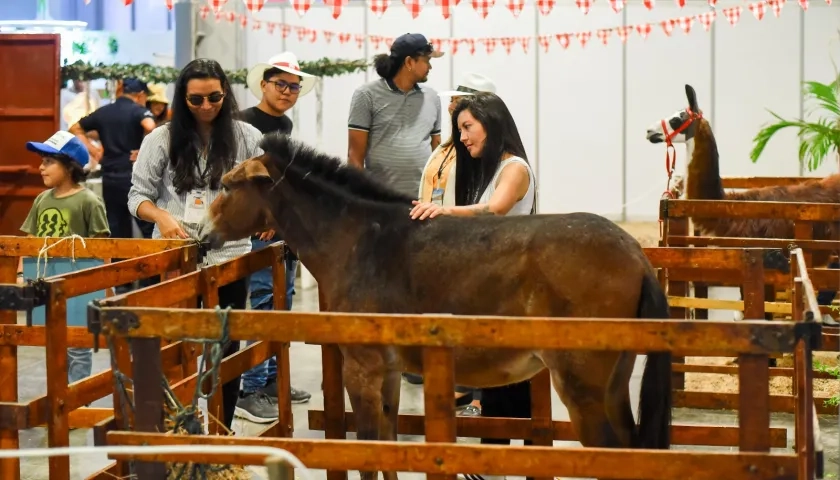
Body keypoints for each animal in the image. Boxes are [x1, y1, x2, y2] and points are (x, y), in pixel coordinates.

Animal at [205, 133, 676, 480]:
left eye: (227, 186)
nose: (204, 238)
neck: (359, 239)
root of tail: (634, 254)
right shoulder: (388, 372)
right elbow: (388, 445)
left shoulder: (362, 370)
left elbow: (370, 451)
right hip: (612, 387)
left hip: (581, 389)